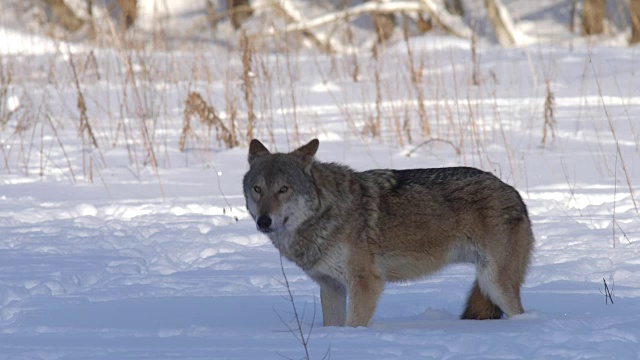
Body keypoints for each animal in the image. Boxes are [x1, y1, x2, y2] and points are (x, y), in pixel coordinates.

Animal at [242, 139, 532, 328]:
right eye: (257, 189)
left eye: (284, 189)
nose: (264, 221)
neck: (326, 210)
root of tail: (513, 191)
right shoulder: (331, 286)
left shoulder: (366, 283)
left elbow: (353, 325)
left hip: (495, 283)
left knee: (521, 313)